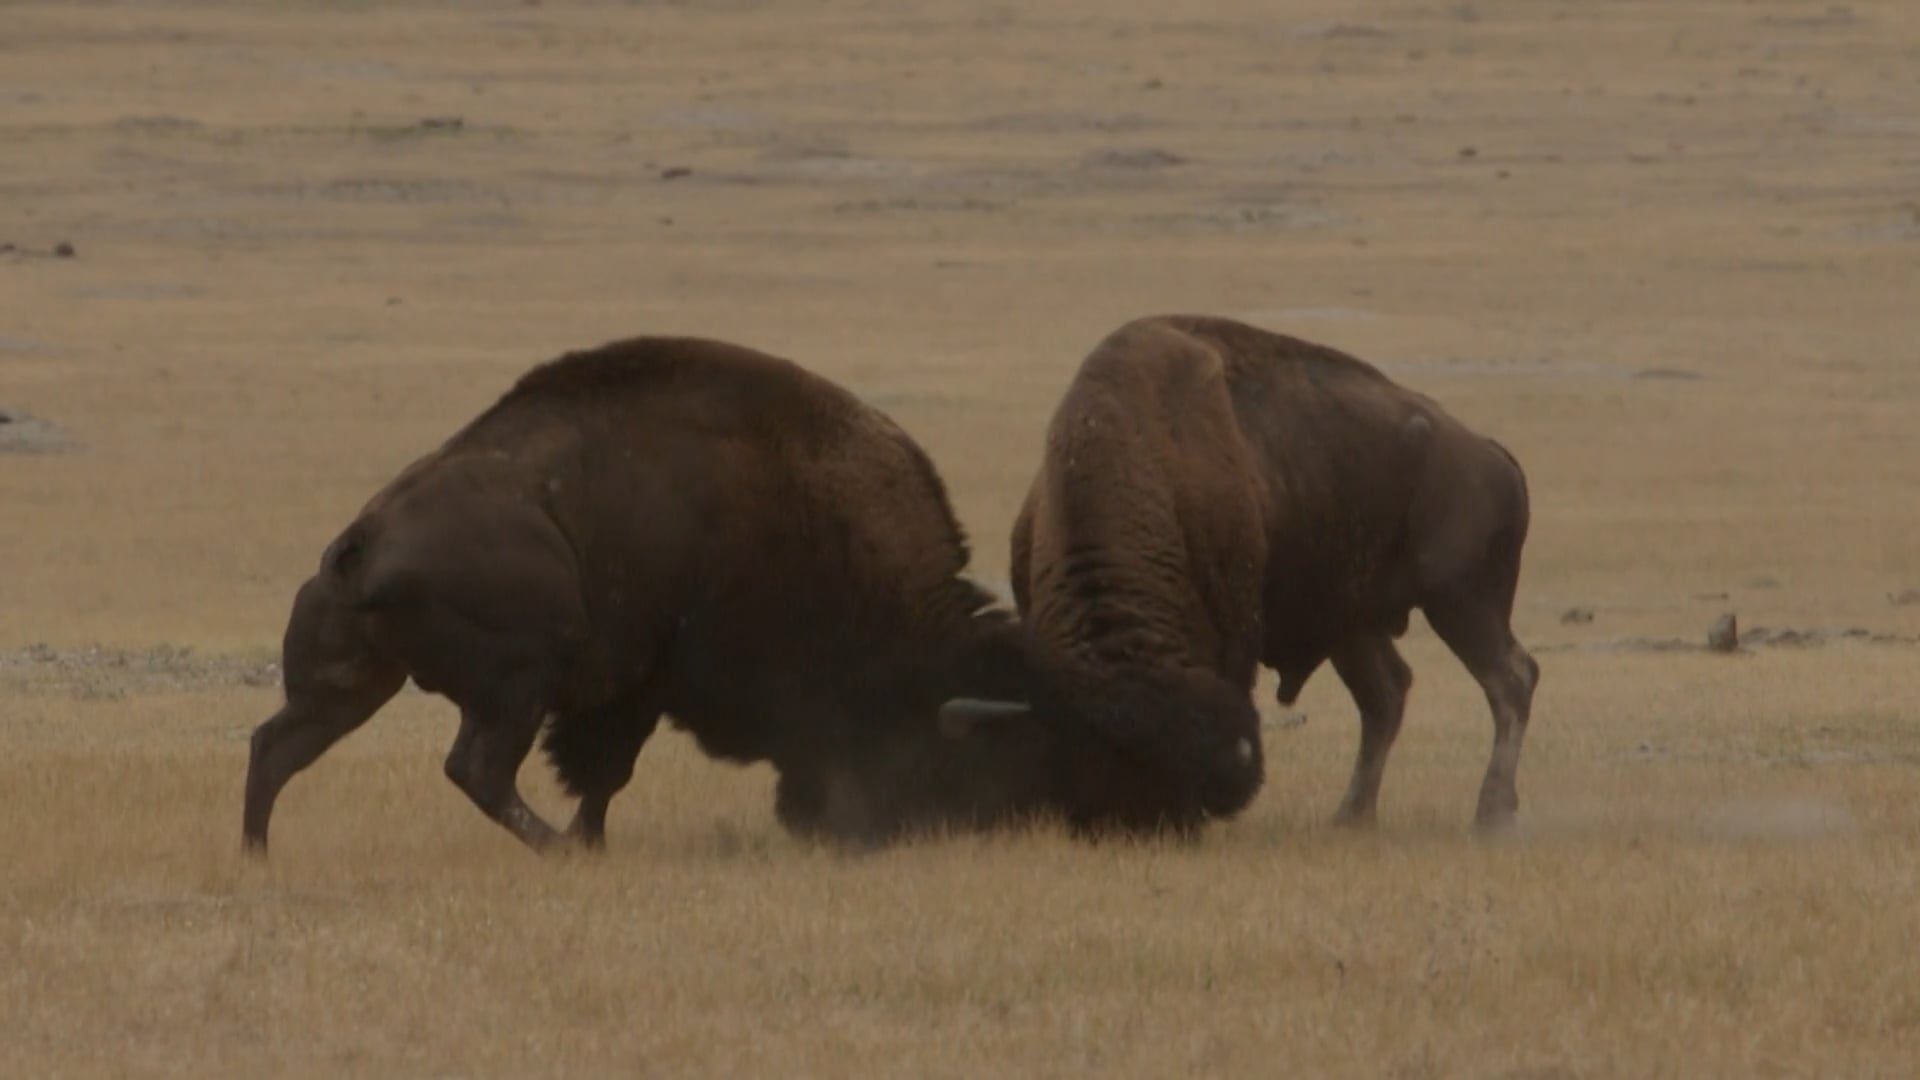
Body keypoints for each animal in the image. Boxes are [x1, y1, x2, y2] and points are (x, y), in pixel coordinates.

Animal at [249, 332, 1052, 853]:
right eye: (948, 758)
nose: (984, 823)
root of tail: (362, 541)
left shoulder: (632, 690)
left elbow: (606, 775)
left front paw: (595, 840)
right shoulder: (642, 683)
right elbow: (607, 770)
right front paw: (589, 843)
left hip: (355, 682)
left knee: (277, 746)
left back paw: (257, 854)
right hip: (518, 678)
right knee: (475, 767)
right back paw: (555, 849)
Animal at [936, 311, 1536, 834]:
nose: (1135, 820)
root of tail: (1492, 454)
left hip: (1461, 603)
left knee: (1510, 681)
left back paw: (1492, 815)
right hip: (1353, 624)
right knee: (1386, 696)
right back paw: (1350, 817)